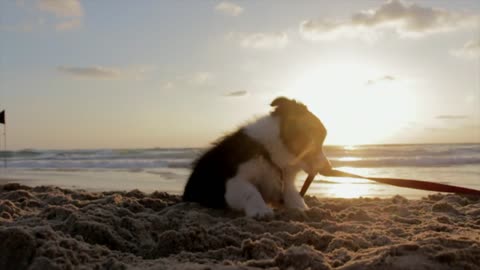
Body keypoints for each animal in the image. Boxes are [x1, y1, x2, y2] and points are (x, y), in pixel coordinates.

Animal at [182, 97, 332, 217]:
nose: (328, 168)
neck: (268, 151)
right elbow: (251, 191)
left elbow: (294, 195)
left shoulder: (285, 183)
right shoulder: (234, 180)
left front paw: (302, 208)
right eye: (315, 140)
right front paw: (261, 210)